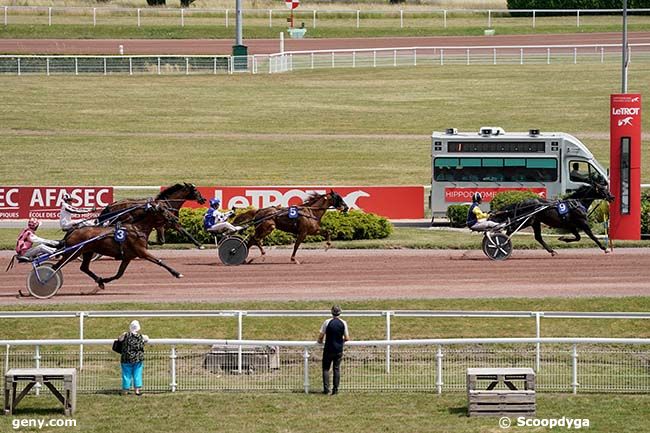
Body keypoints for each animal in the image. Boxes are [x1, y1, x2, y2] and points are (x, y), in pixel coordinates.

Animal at [52, 203, 182, 294]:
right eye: (163, 210)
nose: (176, 219)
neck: (137, 229)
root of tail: (73, 231)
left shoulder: (128, 257)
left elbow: (119, 274)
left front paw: (103, 281)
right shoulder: (142, 252)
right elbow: (160, 262)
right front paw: (177, 273)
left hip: (88, 252)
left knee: (84, 267)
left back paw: (99, 281)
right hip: (73, 252)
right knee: (56, 266)